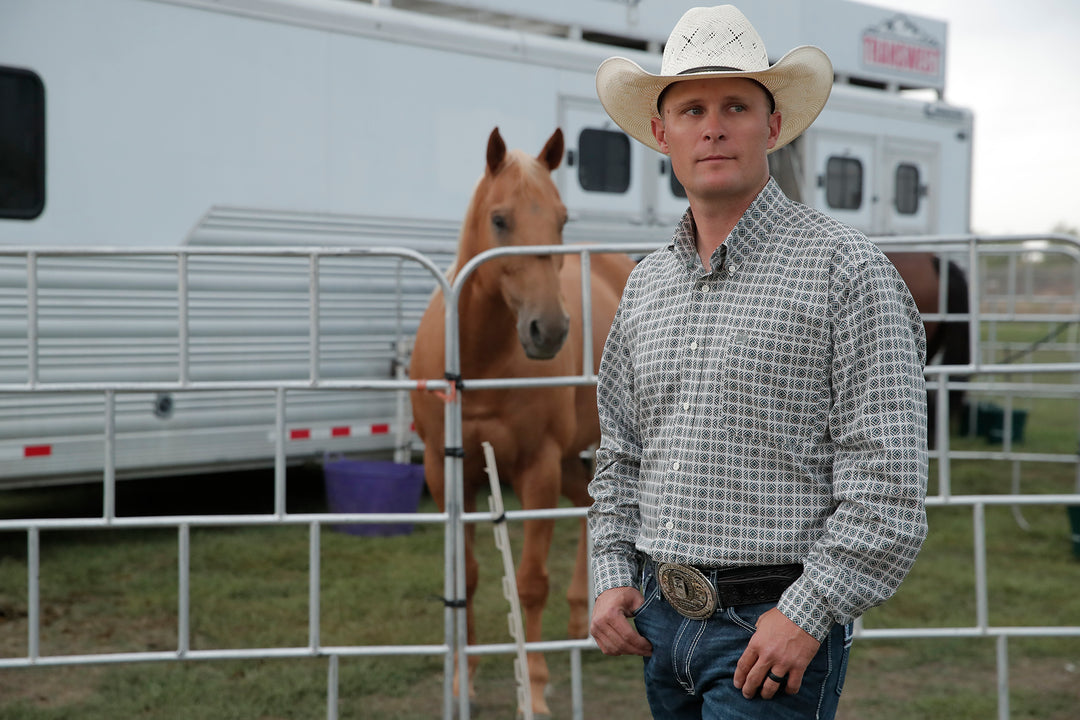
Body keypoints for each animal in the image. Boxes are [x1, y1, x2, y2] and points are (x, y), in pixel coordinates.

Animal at [408, 126, 635, 716]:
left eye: (561, 220)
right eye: (500, 220)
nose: (548, 330)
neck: (482, 361)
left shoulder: (537, 467)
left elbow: (530, 583)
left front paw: (533, 686)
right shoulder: (446, 473)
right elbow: (466, 576)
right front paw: (462, 683)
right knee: (585, 506)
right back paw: (581, 619)